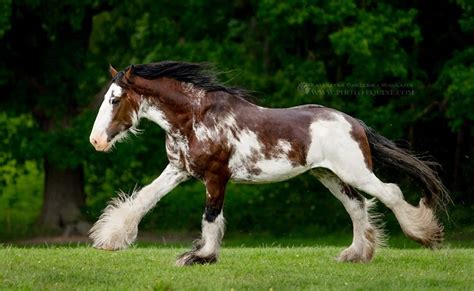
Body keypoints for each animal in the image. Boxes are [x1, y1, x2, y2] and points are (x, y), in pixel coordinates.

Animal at [89, 60, 448, 266]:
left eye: (115, 99)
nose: (96, 141)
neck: (194, 118)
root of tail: (355, 122)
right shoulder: (179, 170)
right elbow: (143, 200)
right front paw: (110, 240)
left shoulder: (216, 176)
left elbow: (210, 217)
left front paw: (200, 257)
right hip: (328, 175)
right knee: (357, 207)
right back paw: (355, 255)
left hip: (354, 171)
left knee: (390, 193)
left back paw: (425, 235)